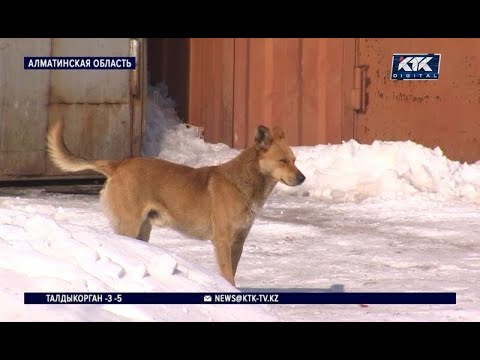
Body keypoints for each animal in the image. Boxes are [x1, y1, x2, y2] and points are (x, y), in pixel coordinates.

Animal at [47, 119, 306, 286]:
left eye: (294, 160)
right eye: (283, 161)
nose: (302, 178)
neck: (245, 182)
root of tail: (118, 164)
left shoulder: (238, 242)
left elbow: (232, 272)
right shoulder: (222, 241)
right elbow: (227, 275)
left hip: (143, 229)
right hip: (129, 225)